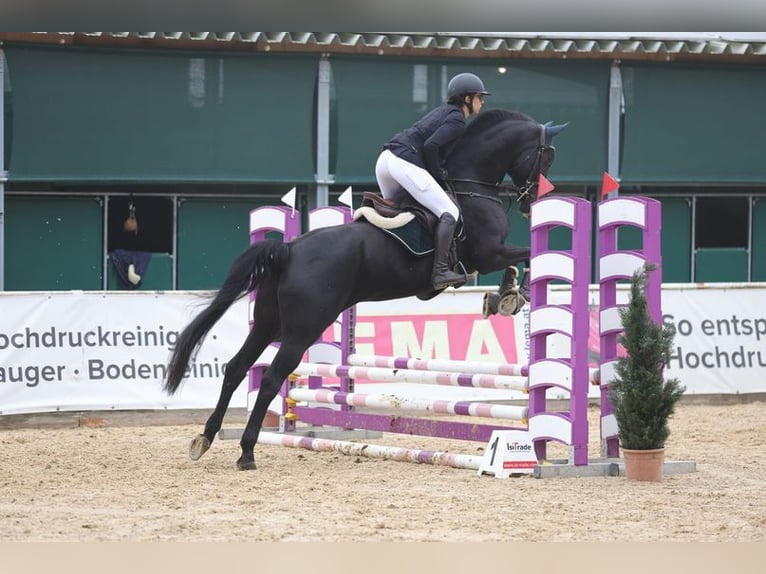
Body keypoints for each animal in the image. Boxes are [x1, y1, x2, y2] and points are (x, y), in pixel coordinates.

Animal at [164, 109, 567, 470]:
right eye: (546, 155)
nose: (532, 202)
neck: (471, 186)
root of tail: (289, 250)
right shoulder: (489, 252)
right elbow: (525, 258)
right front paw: (510, 296)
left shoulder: (489, 256)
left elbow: (520, 262)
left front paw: (504, 297)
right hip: (301, 331)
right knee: (272, 379)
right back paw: (247, 452)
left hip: (267, 324)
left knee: (236, 368)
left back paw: (205, 438)